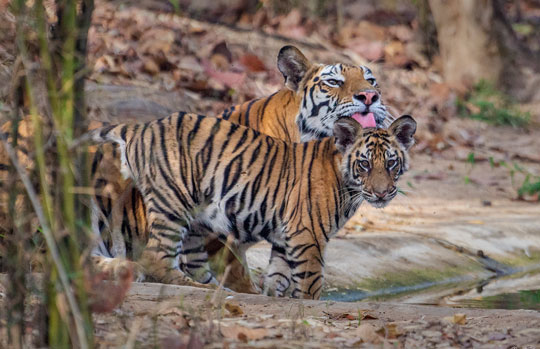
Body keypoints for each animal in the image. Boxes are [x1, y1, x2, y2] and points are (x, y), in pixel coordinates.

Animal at [82, 111, 418, 300]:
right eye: (364, 164)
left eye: (391, 163)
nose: (382, 193)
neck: (348, 185)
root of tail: (142, 127)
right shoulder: (307, 235)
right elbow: (311, 281)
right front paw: (309, 303)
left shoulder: (286, 237)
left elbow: (279, 276)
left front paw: (276, 296)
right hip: (172, 202)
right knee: (155, 259)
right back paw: (203, 289)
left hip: (193, 220)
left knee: (193, 262)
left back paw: (222, 289)